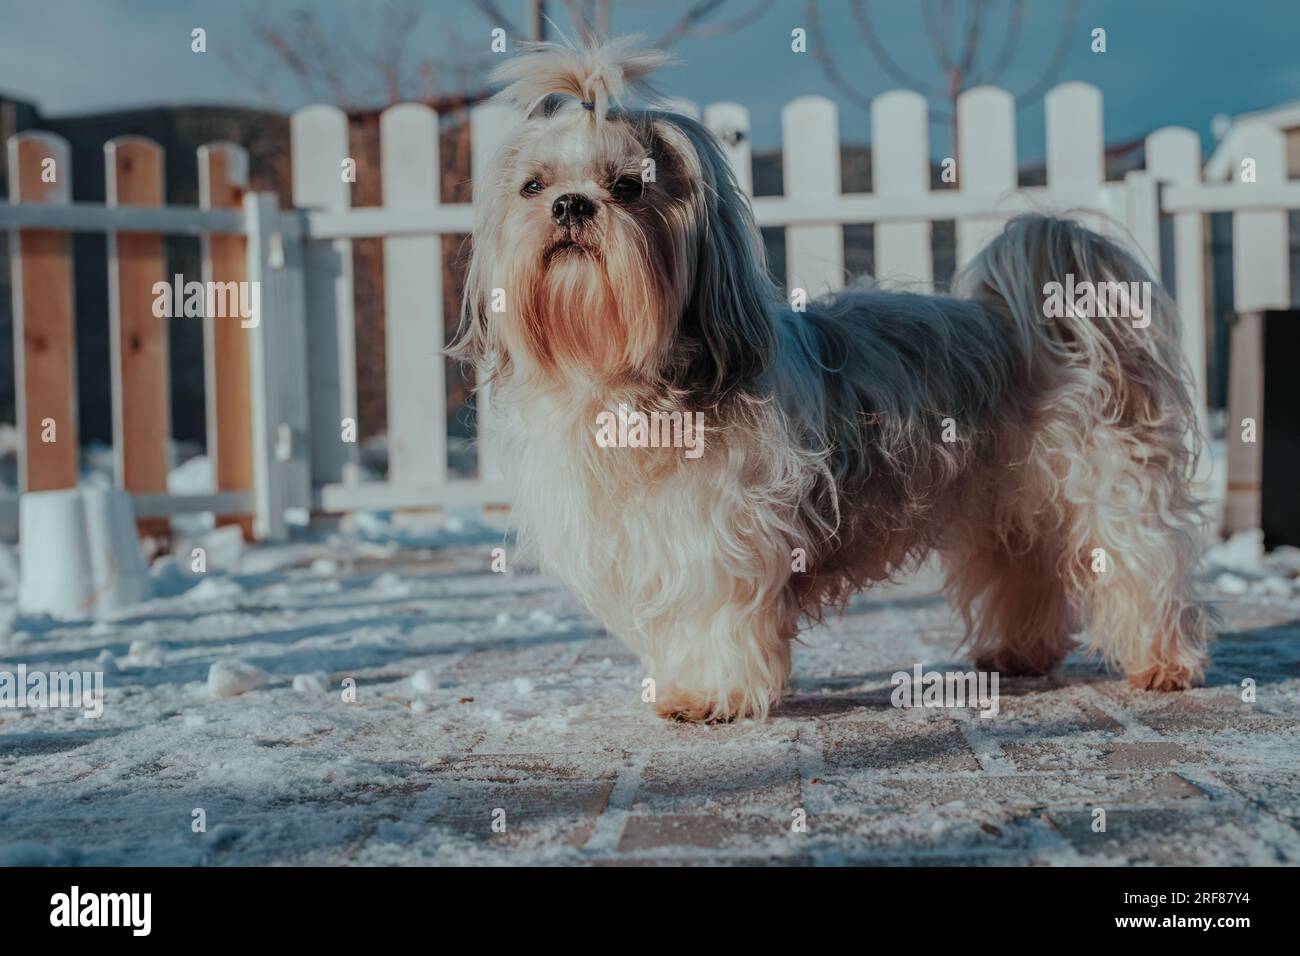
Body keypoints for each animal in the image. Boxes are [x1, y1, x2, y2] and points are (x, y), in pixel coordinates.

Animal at [452, 39, 1211, 723]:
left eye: (629, 187)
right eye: (533, 186)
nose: (572, 206)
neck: (624, 381)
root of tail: (1045, 318)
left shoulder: (720, 541)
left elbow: (711, 618)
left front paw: (710, 696)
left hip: (1109, 484)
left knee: (1143, 564)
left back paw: (1164, 662)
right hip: (1008, 503)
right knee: (1022, 568)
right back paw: (1019, 652)